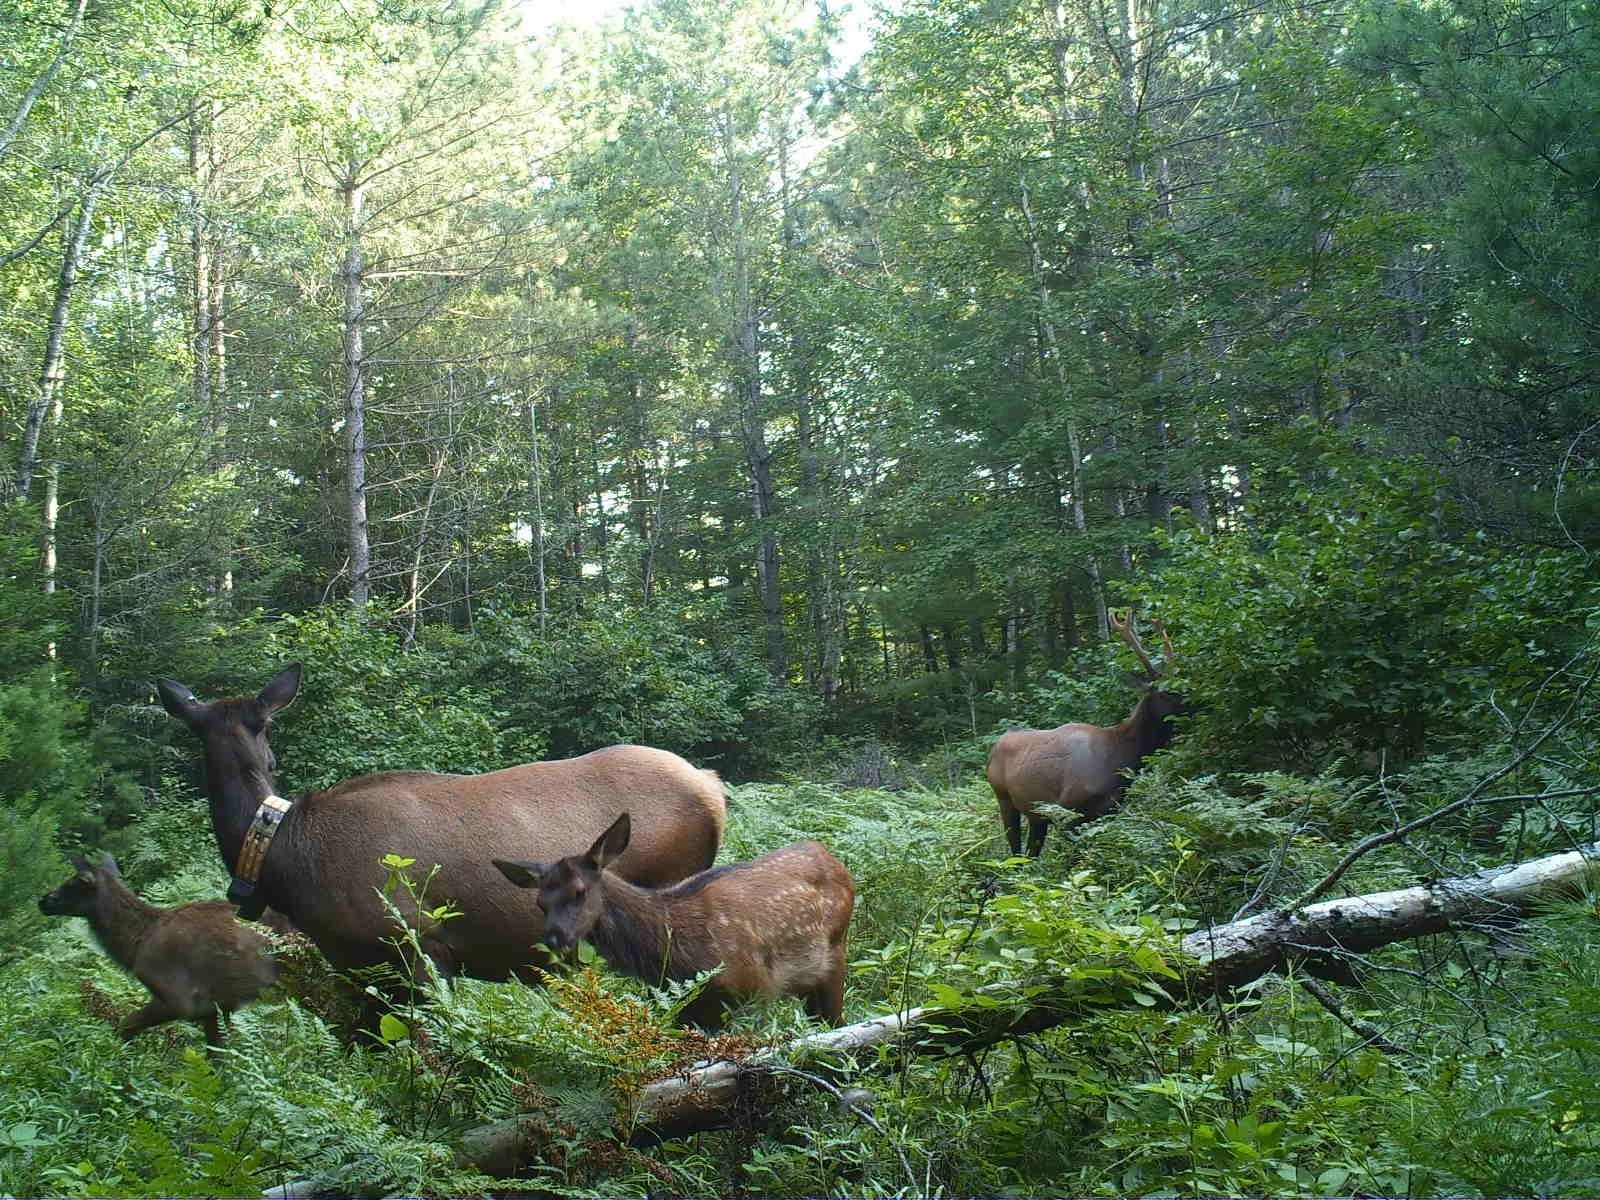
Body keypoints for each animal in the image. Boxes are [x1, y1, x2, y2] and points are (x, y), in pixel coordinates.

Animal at [39, 857, 278, 1049]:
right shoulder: (211, 1009)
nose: (43, 900)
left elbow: (125, 1026)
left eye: (74, 883)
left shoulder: (179, 1000)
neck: (134, 945)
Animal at [492, 819, 857, 1036]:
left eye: (580, 892)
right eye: (540, 902)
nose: (554, 938)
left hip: (835, 955)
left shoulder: (756, 989)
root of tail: (829, 855)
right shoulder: (686, 1009)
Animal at [985, 614, 1190, 857]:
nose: (1200, 702)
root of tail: (994, 748)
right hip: (1003, 797)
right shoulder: (1067, 808)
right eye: (1167, 691)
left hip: (1036, 812)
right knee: (1015, 848)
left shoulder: (1109, 810)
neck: (1120, 757)